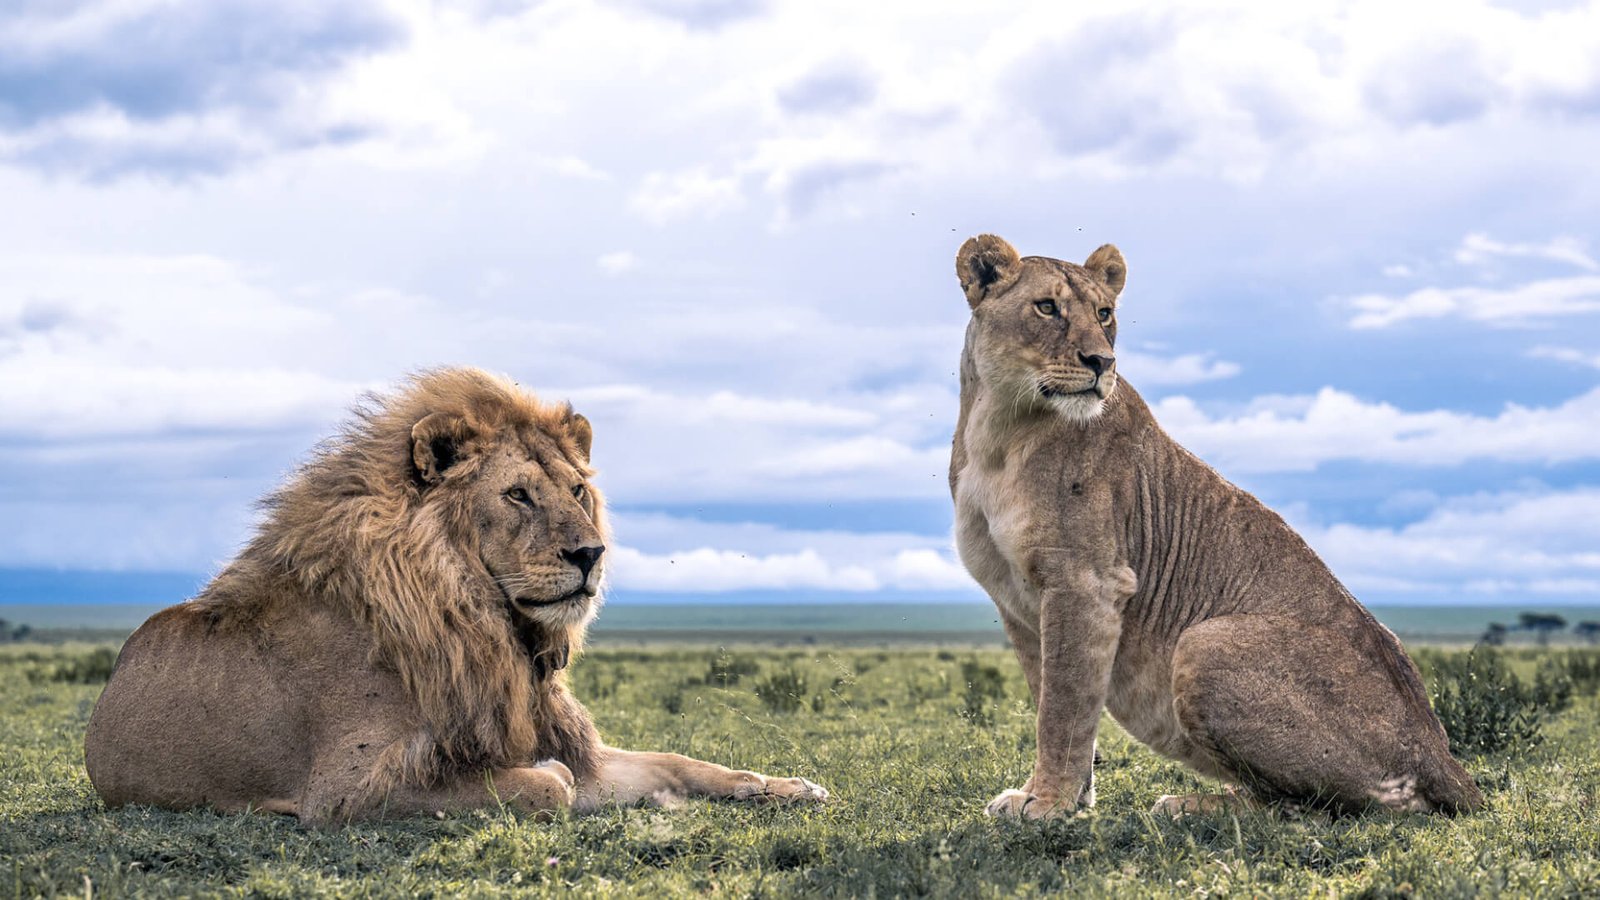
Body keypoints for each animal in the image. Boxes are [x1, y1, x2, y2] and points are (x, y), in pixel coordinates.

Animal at [84, 367, 827, 823]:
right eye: (519, 494)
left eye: (577, 490)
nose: (590, 554)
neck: (493, 629)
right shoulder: (344, 790)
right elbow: (547, 784)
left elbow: (683, 762)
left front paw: (789, 786)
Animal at [949, 235, 1482, 818]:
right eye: (1047, 308)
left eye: (1104, 313)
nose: (1101, 361)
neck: (999, 428)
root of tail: (1441, 755)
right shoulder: (1018, 600)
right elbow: (1055, 695)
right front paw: (1067, 797)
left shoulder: (1086, 582)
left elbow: (1062, 708)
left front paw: (1048, 803)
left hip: (1204, 643)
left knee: (1310, 806)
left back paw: (1188, 805)